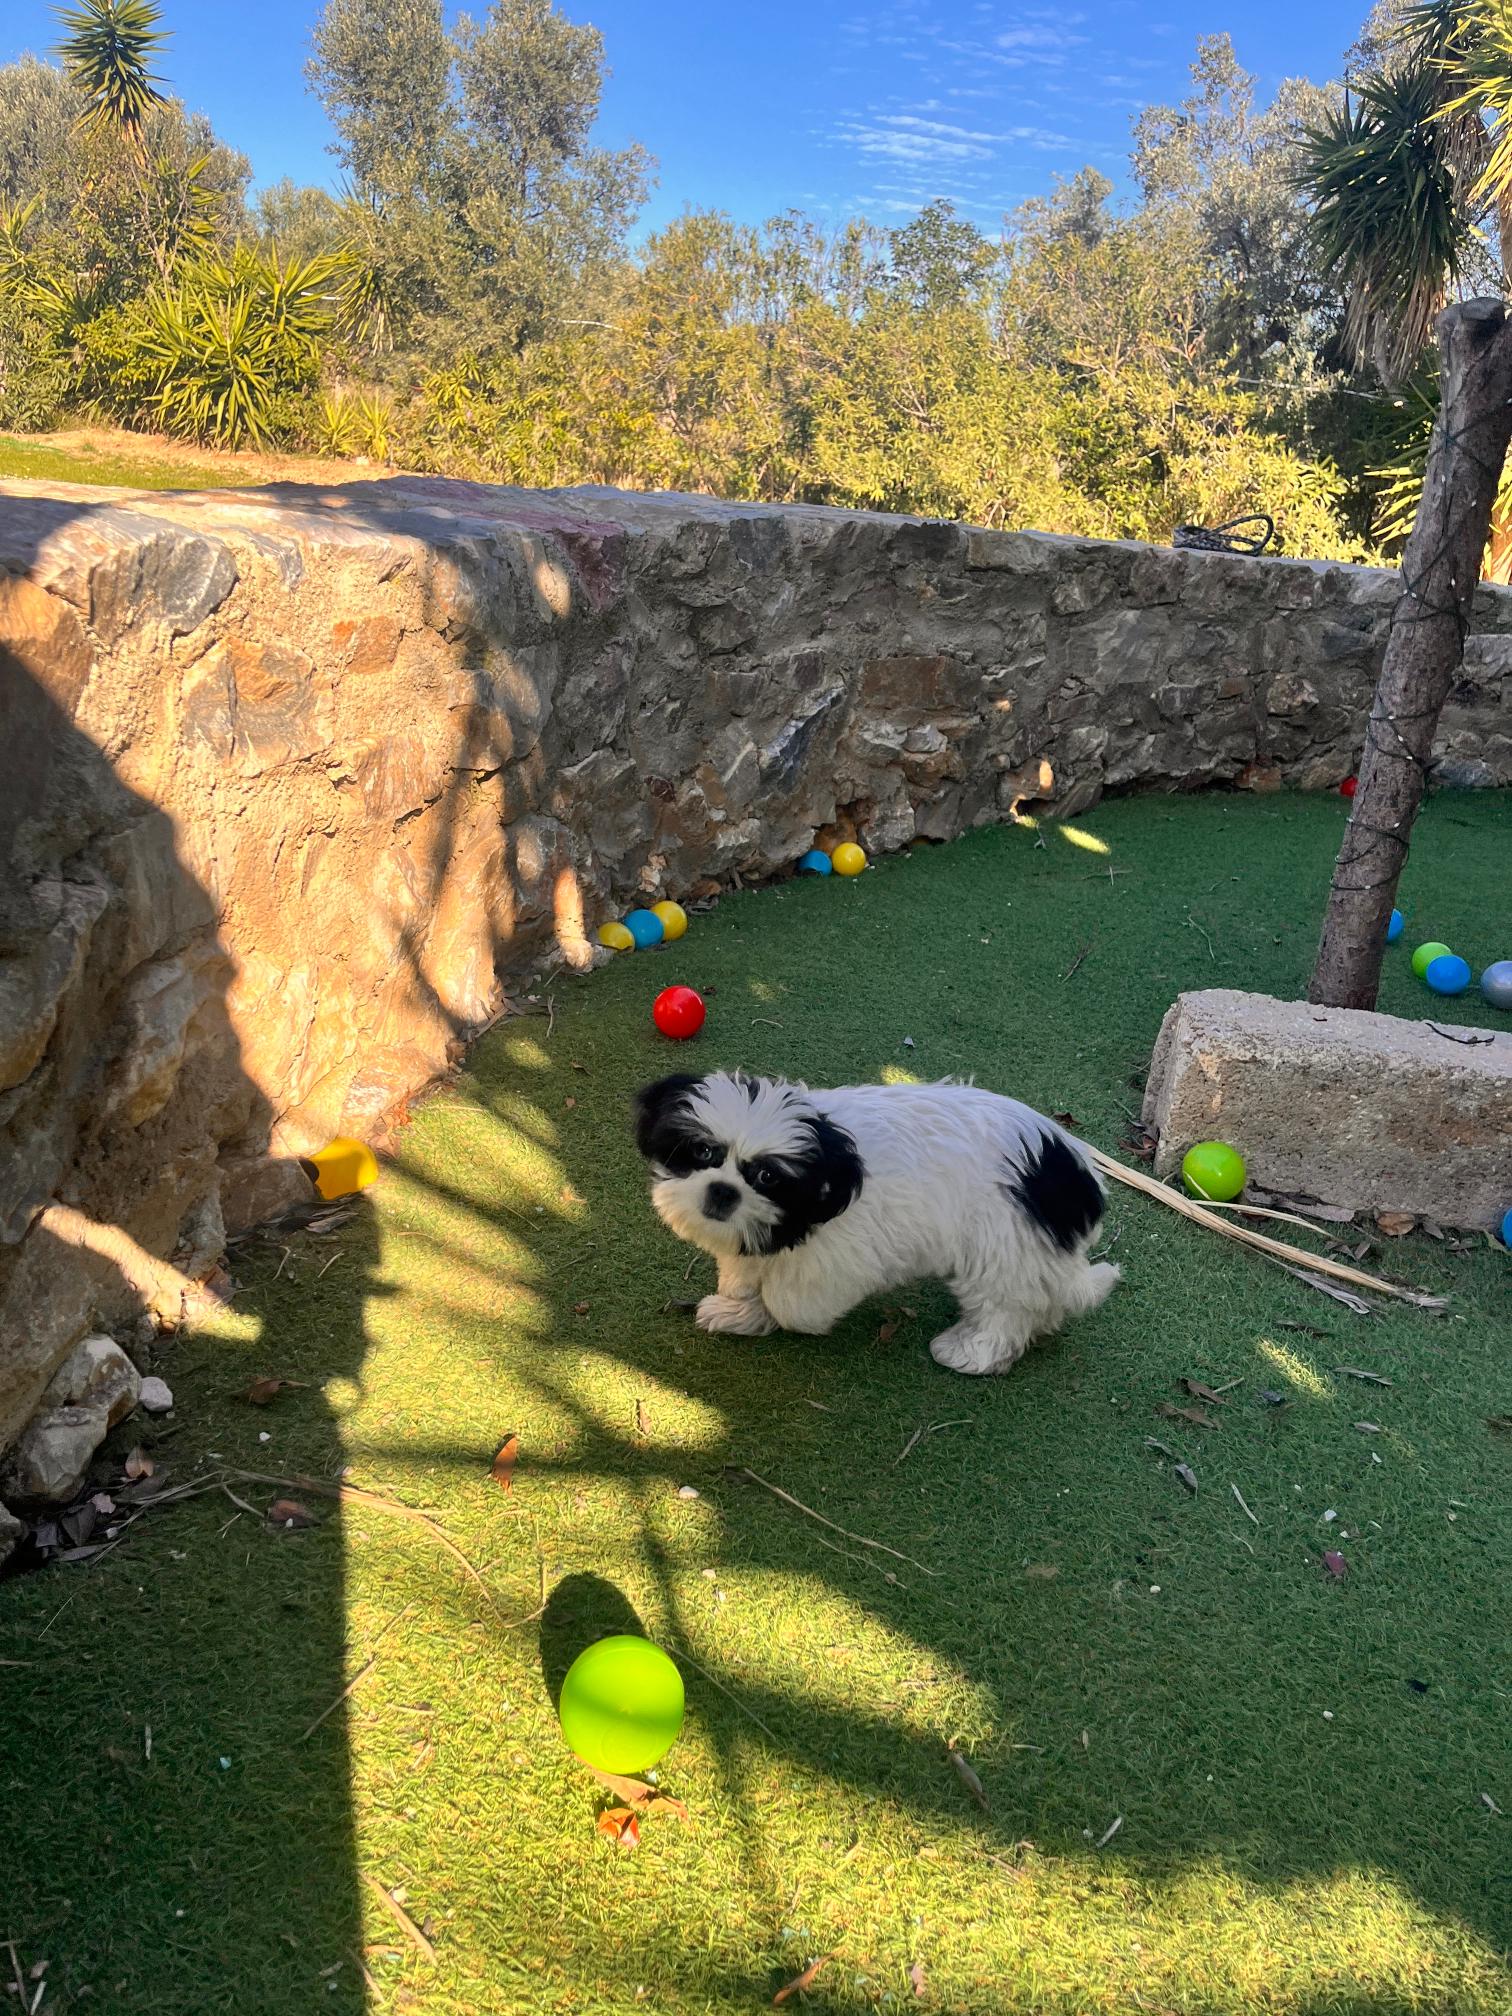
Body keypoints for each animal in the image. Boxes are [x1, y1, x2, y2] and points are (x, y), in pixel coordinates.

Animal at [634, 1071, 1120, 1374]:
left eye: (768, 1177)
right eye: (702, 1153)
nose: (722, 1190)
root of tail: (1075, 1173)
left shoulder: (844, 1254)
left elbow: (792, 1299)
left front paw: (775, 1313)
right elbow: (751, 1272)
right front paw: (740, 1309)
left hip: (1004, 1240)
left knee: (1006, 1306)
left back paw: (976, 1351)